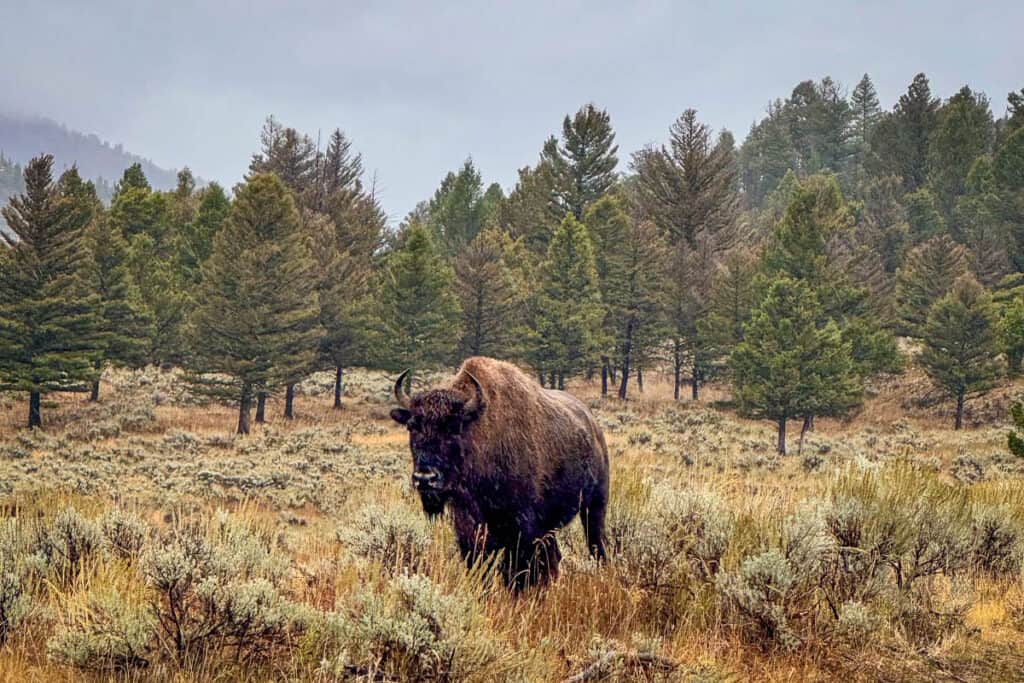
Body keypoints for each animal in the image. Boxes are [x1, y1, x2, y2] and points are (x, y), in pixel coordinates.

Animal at [387, 358, 602, 589]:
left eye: (454, 427)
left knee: (595, 545)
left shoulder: (522, 526)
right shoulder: (468, 525)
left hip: (595, 506)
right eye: (411, 426)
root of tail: (593, 424)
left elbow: (520, 569)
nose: (425, 479)